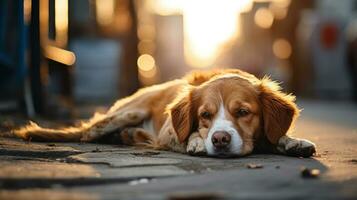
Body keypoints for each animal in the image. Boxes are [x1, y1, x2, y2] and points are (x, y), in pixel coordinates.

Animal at [13, 69, 314, 157]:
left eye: (242, 112)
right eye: (204, 116)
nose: (219, 140)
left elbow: (276, 136)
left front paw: (293, 142)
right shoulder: (170, 130)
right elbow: (185, 135)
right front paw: (196, 141)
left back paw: (130, 137)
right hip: (128, 113)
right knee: (88, 135)